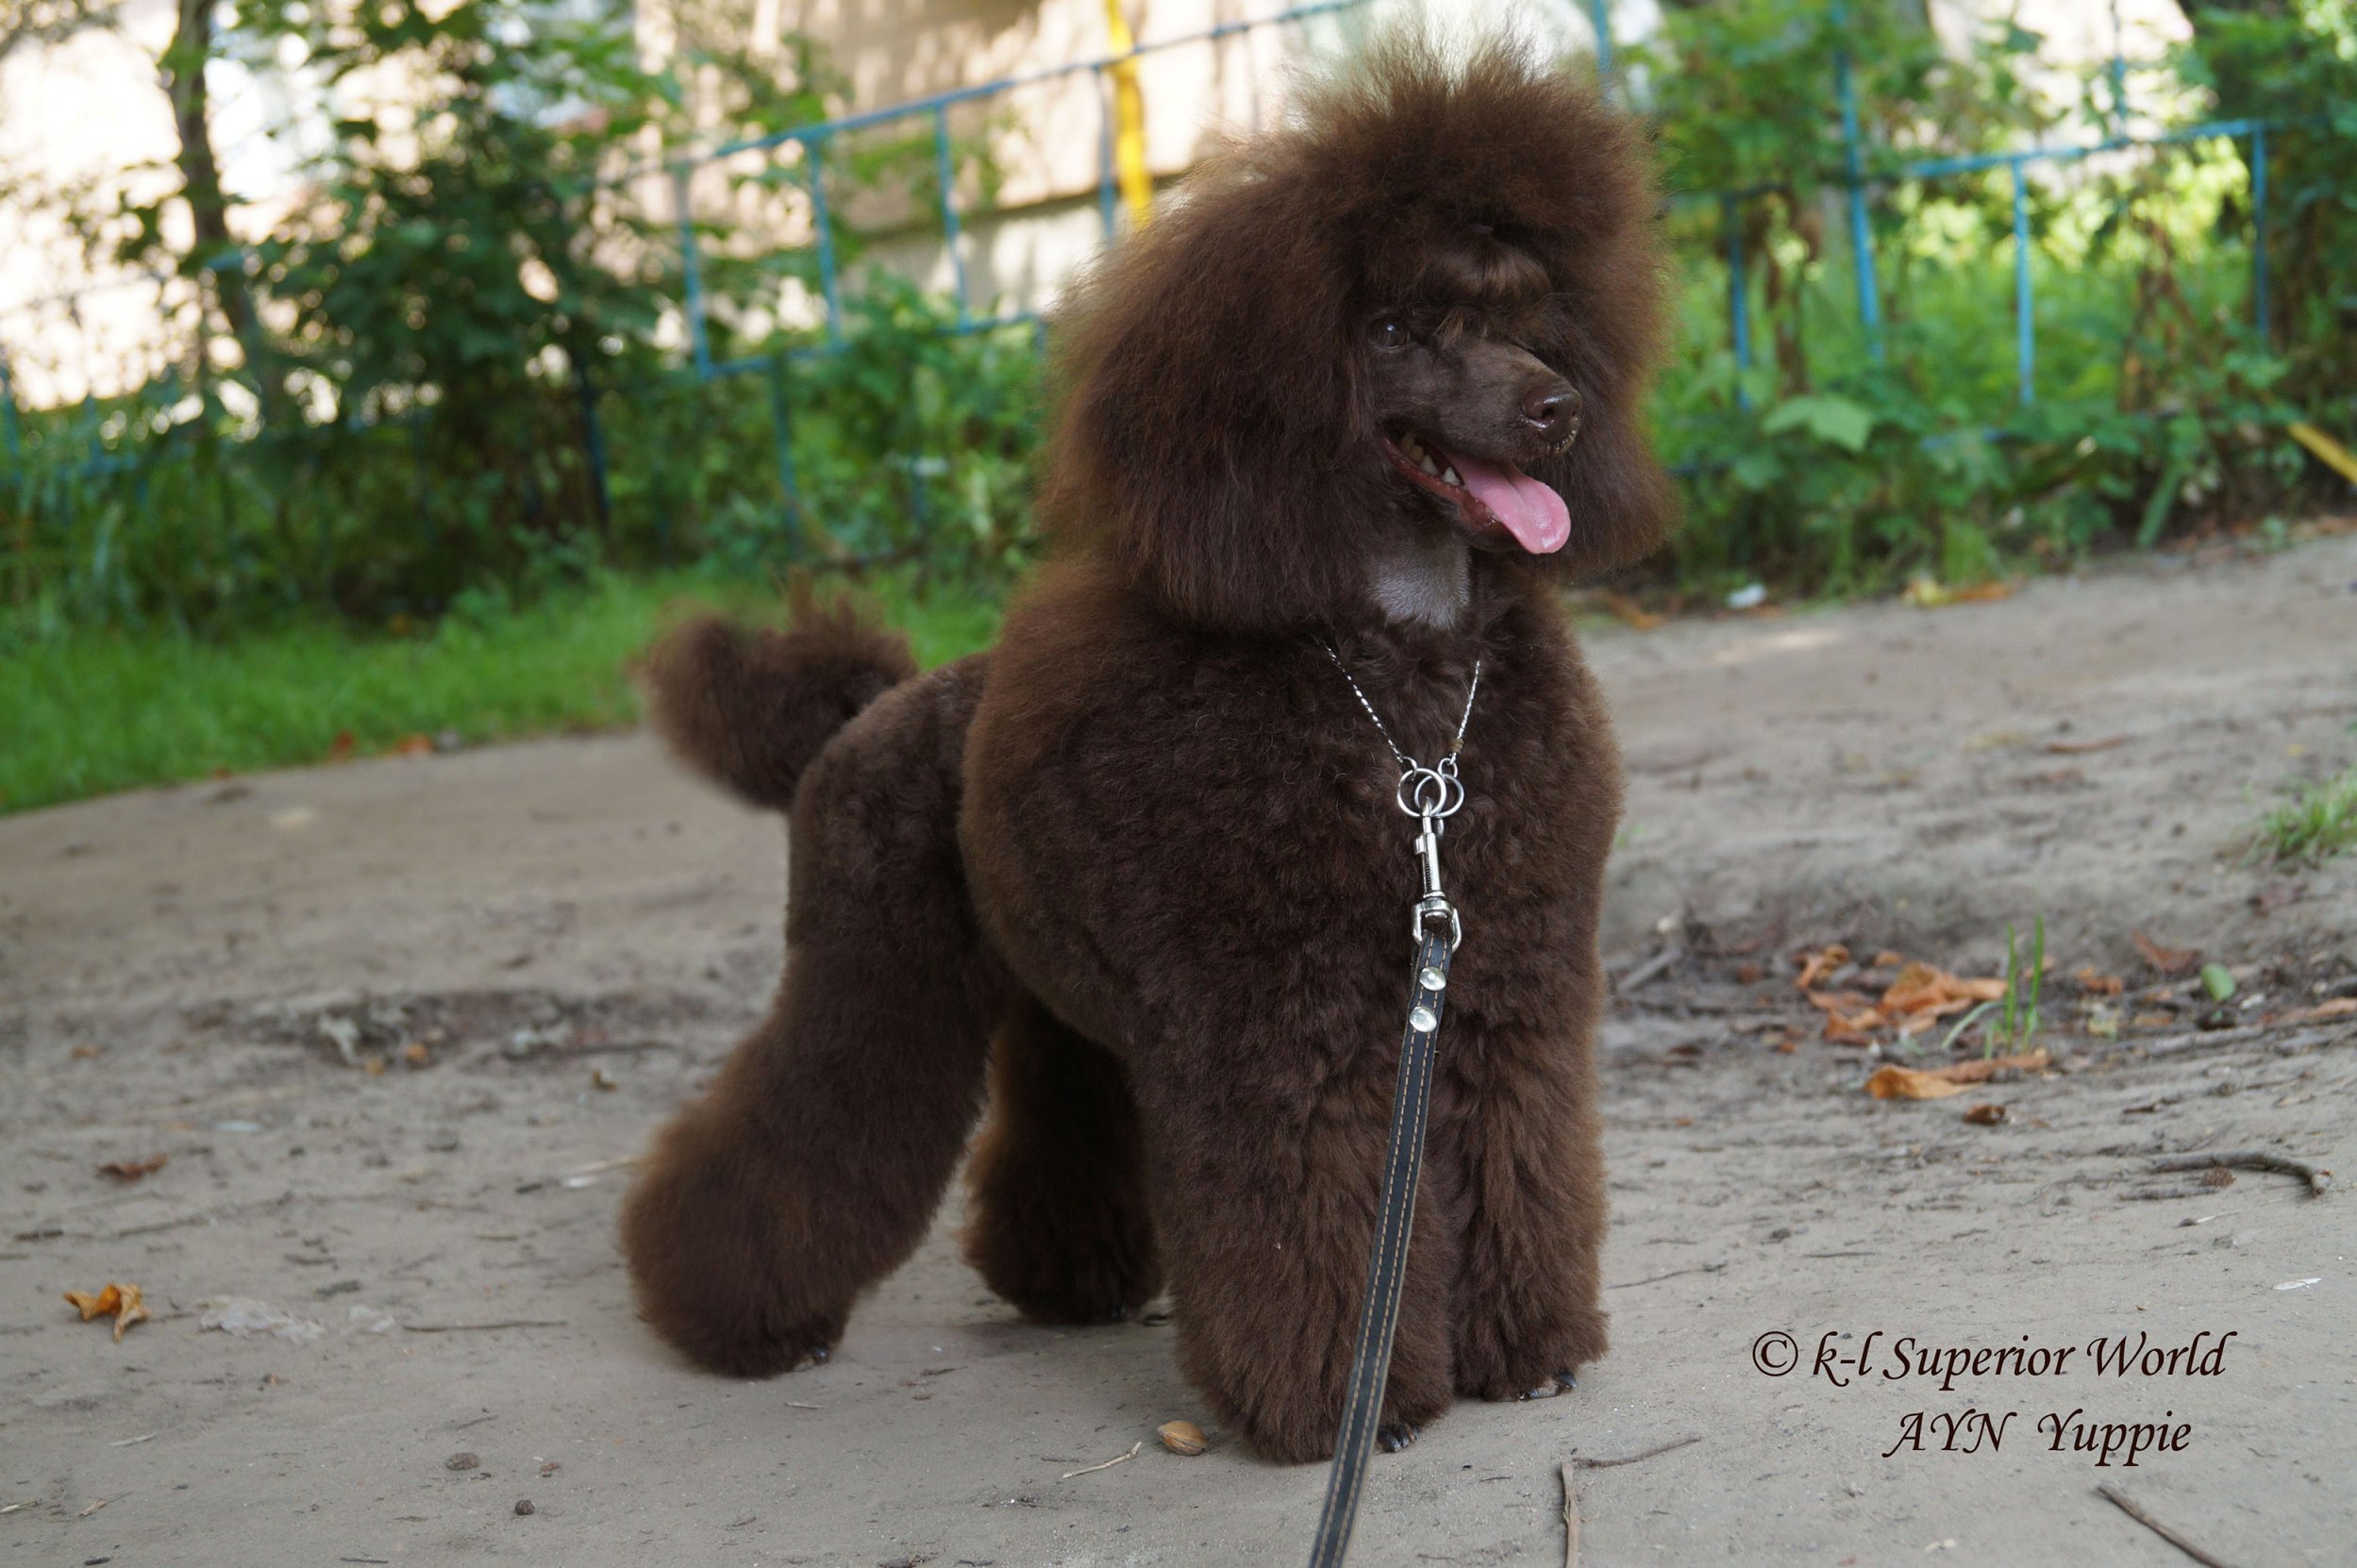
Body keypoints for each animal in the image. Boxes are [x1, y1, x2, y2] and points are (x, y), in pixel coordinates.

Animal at [620, 35, 1672, 1463]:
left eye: (1523, 313)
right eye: (1390, 329)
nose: (1554, 409)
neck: (1405, 699)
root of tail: (863, 717)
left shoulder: (1508, 993)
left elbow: (1519, 1162)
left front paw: (1527, 1351)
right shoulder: (1280, 1034)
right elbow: (1303, 1216)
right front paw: (1343, 1406)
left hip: (1058, 1001)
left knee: (1058, 1113)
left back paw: (1065, 1279)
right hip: (874, 965)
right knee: (811, 1117)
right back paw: (739, 1317)